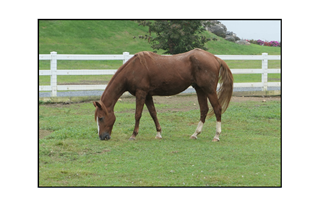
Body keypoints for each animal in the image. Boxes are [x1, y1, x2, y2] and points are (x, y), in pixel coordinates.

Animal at [92, 48, 232, 142]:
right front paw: (158, 133)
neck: (133, 69)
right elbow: (153, 113)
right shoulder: (148, 95)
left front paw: (133, 135)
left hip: (209, 90)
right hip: (200, 89)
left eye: (101, 118)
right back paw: (195, 134)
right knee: (204, 109)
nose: (102, 137)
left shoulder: (141, 93)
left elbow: (138, 114)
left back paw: (216, 136)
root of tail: (215, 58)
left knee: (217, 108)